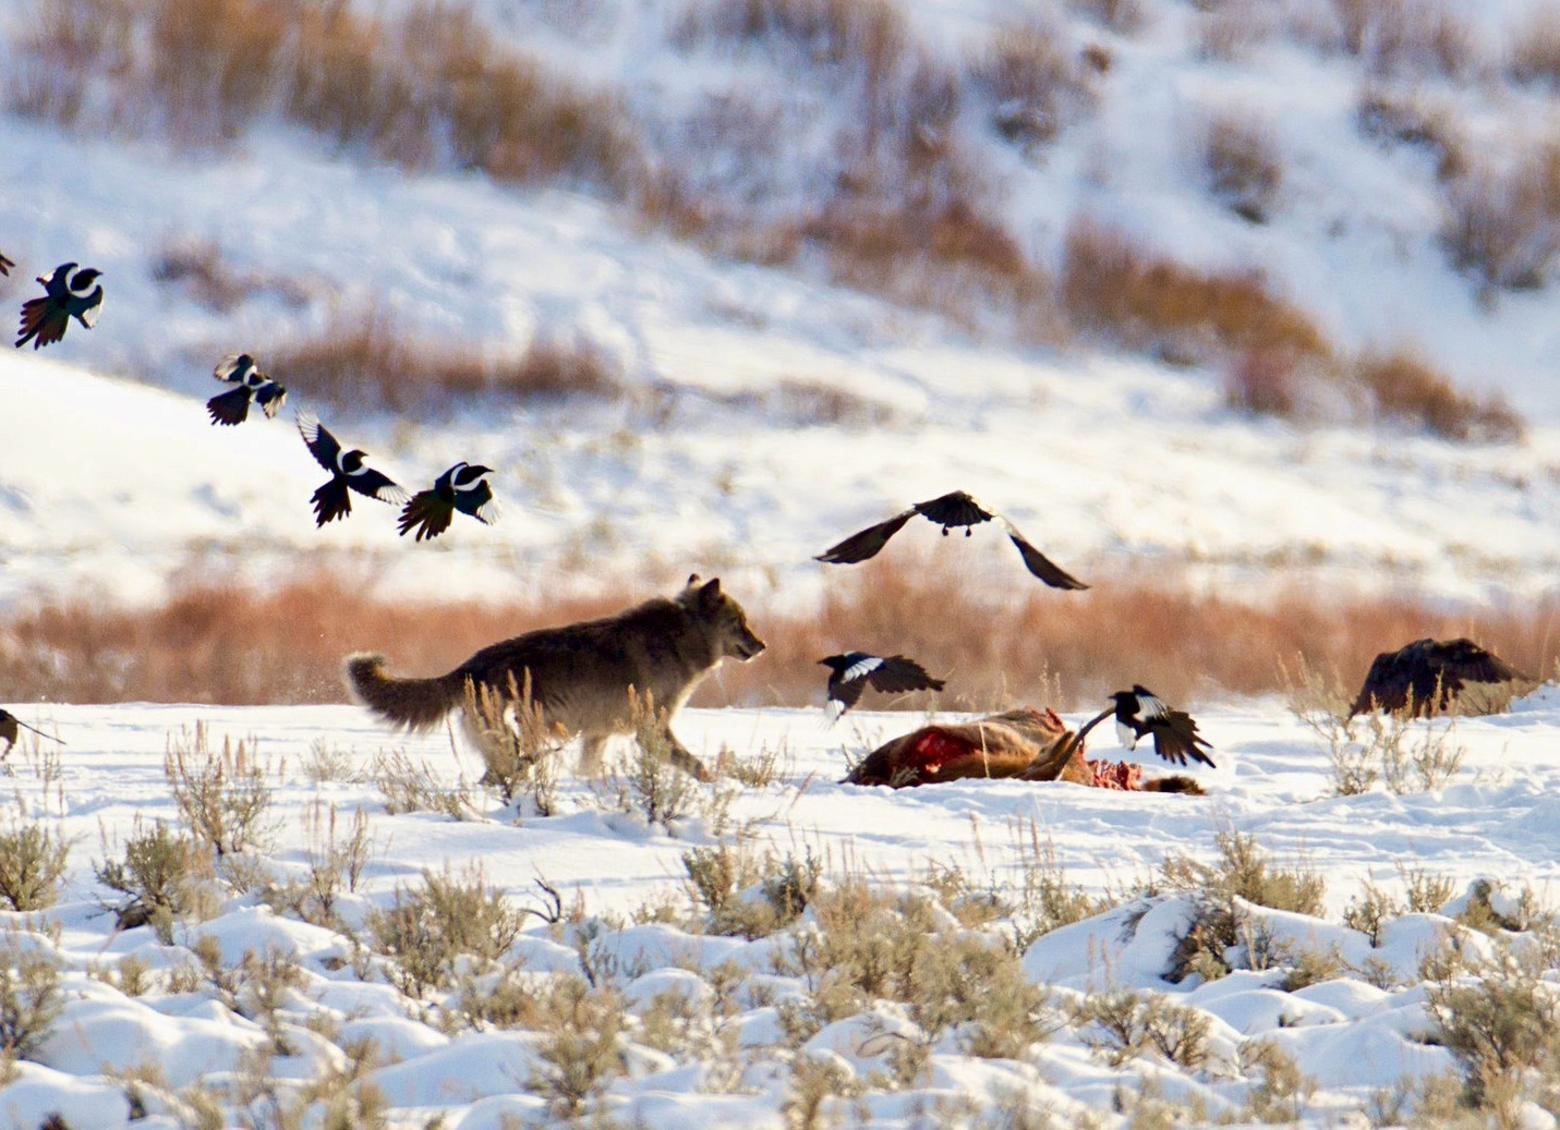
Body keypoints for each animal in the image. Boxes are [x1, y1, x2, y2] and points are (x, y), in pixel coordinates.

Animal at [341, 574, 761, 777]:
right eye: (741, 622)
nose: (763, 645)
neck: (680, 637)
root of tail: (469, 666)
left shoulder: (597, 736)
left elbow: (589, 772)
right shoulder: (651, 730)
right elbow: (700, 768)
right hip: (520, 744)